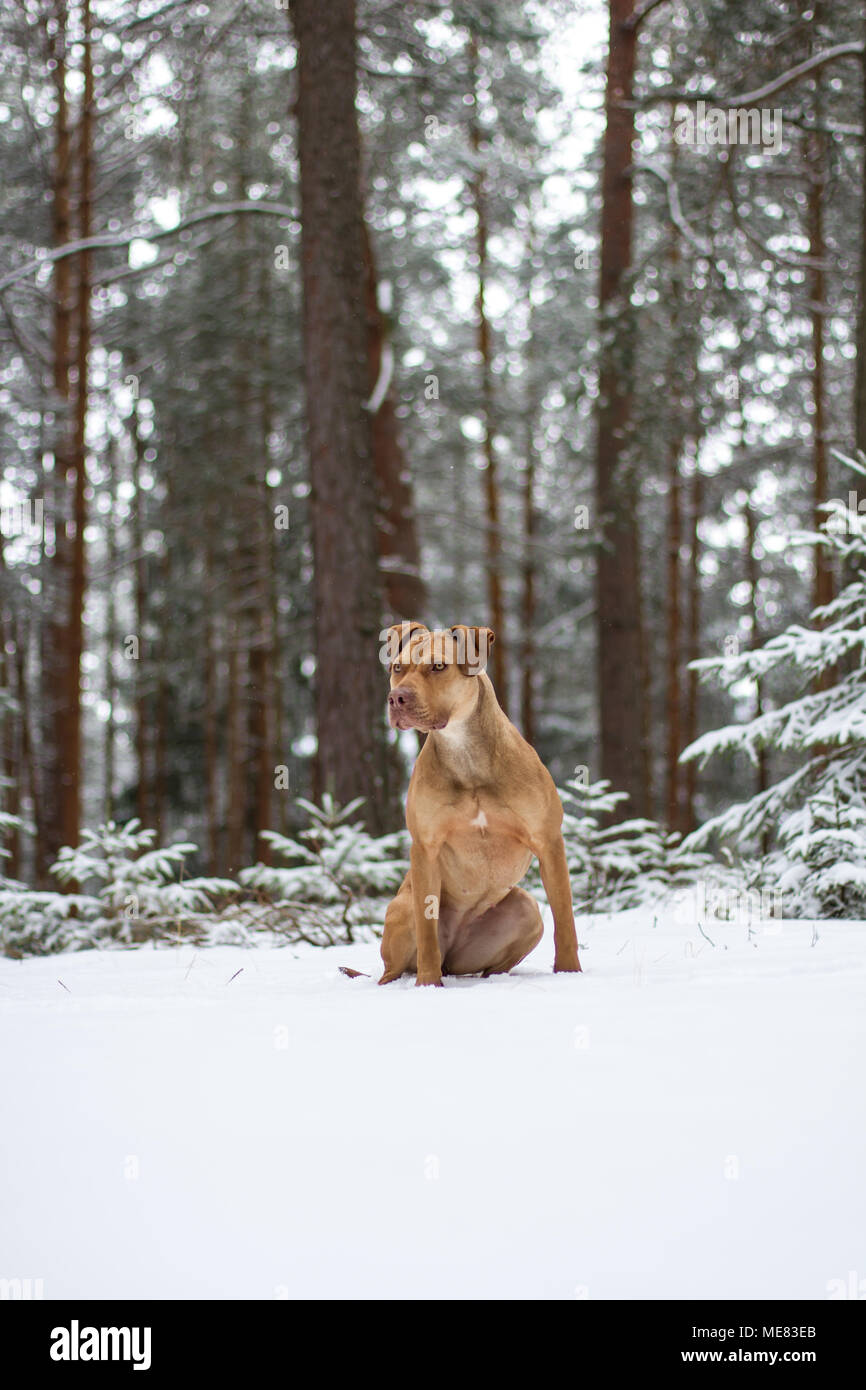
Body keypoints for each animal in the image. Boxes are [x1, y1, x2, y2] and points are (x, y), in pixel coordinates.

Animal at [378, 625, 583, 984]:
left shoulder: (548, 841)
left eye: (439, 666)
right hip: (401, 908)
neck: (464, 752)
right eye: (397, 668)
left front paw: (570, 972)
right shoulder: (425, 848)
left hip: (526, 911)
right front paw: (428, 985)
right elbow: (426, 929)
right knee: (397, 963)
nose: (397, 698)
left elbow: (564, 919)